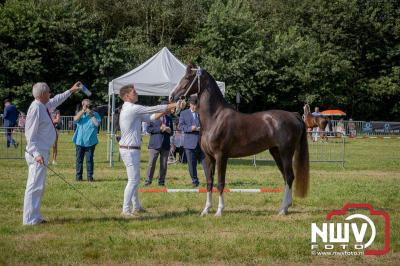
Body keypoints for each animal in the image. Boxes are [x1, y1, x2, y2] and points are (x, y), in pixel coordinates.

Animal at [169, 64, 310, 216]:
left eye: (187, 77)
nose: (171, 96)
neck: (215, 118)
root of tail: (294, 115)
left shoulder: (221, 156)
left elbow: (220, 182)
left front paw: (219, 211)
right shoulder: (208, 157)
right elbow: (209, 182)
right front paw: (206, 210)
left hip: (286, 153)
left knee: (289, 176)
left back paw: (283, 210)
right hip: (276, 152)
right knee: (286, 177)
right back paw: (285, 207)